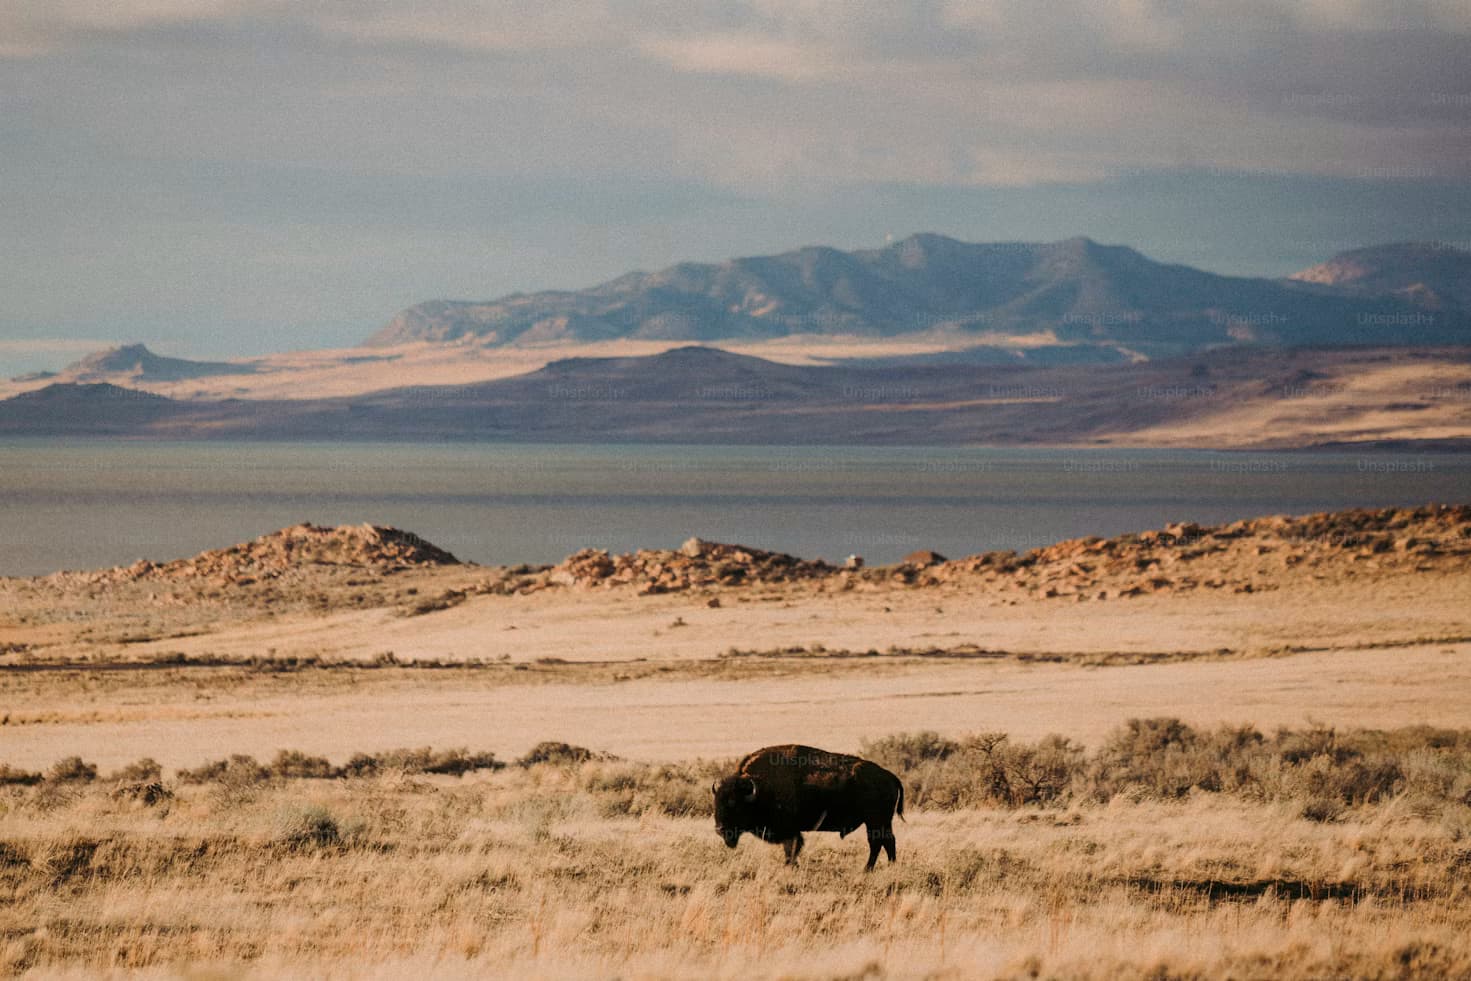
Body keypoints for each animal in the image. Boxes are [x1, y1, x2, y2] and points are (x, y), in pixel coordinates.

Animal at [712, 744, 904, 870]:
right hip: (882, 822)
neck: (759, 788)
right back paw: (889, 866)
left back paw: (868, 869)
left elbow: (791, 849)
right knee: (888, 841)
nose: (720, 829)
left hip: (875, 821)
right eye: (716, 804)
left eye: (734, 805)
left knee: (878, 842)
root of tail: (890, 776)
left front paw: (789, 866)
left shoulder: (790, 832)